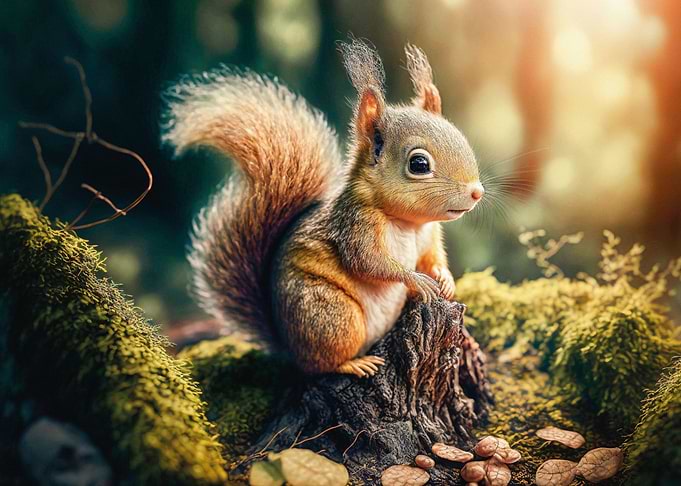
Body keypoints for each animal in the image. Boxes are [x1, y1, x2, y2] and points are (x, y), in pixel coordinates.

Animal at [162, 40, 483, 378]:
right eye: (419, 164)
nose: (477, 192)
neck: (408, 222)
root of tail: (289, 347)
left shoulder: (429, 235)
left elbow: (432, 259)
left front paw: (445, 279)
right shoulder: (356, 224)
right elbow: (369, 262)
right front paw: (415, 279)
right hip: (330, 315)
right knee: (321, 364)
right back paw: (354, 363)